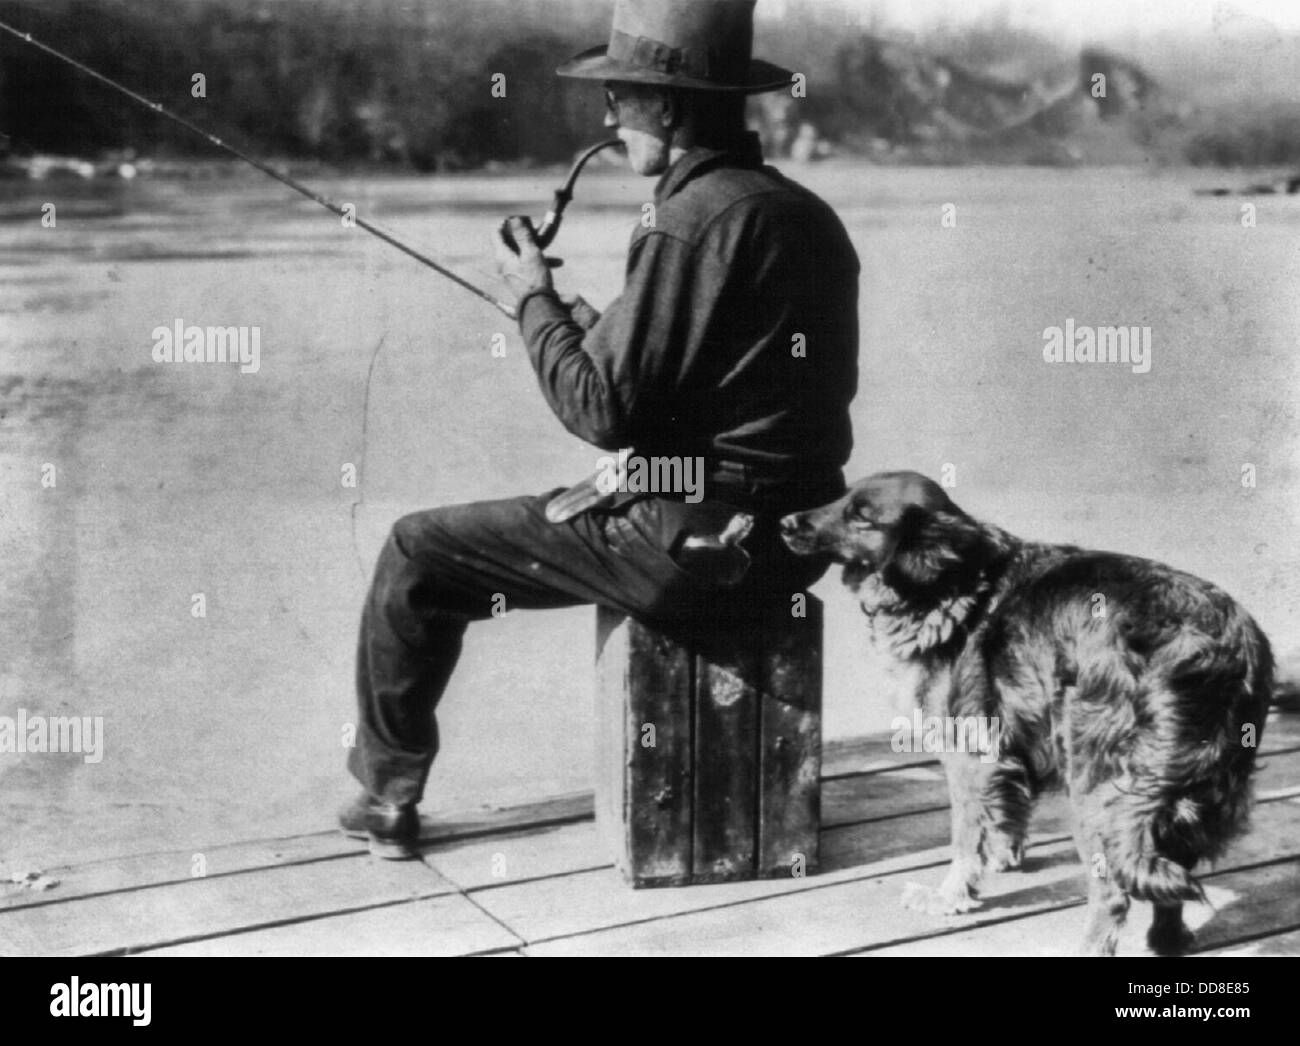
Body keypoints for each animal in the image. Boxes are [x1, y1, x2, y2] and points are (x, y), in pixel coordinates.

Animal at [774, 472, 1274, 956]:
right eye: (841, 499)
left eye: (861, 516)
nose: (785, 523)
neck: (955, 580)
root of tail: (1219, 647)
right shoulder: (1011, 741)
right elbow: (1006, 813)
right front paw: (1001, 855)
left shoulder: (966, 754)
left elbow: (964, 837)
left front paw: (949, 896)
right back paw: (1166, 940)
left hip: (1095, 786)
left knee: (1113, 892)